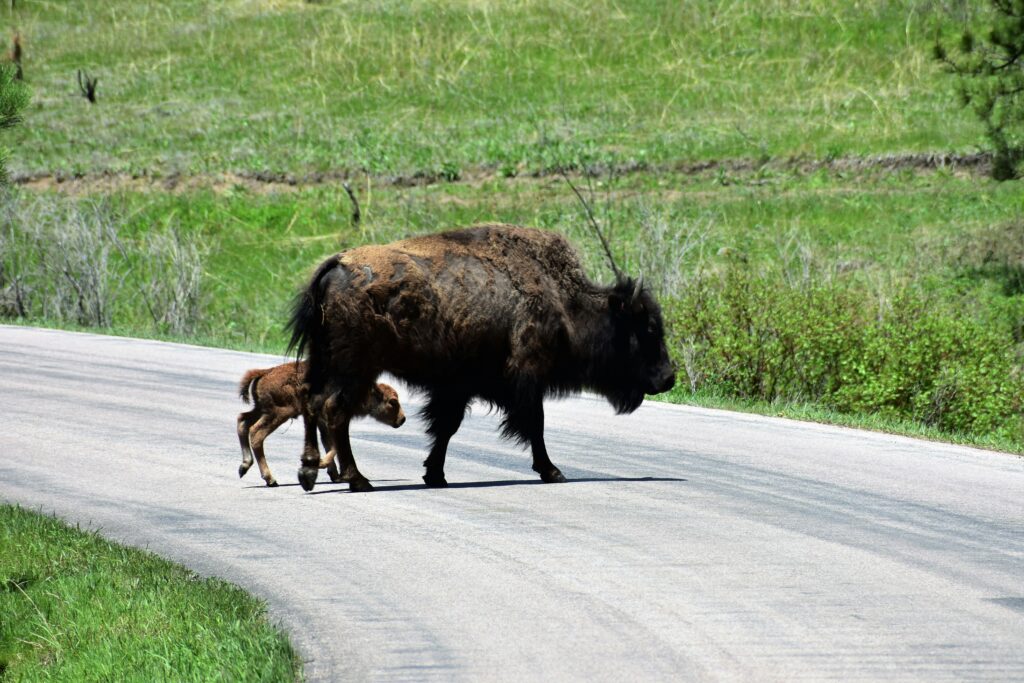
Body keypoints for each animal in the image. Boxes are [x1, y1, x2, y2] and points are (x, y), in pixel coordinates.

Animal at [284, 224, 675, 491]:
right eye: (648, 329)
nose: (668, 377)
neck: (562, 302)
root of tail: (336, 265)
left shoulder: (457, 386)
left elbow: (446, 428)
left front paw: (435, 475)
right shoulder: (525, 378)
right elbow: (534, 424)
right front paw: (553, 472)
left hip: (324, 363)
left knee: (313, 403)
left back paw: (309, 471)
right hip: (354, 368)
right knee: (335, 411)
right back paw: (357, 479)